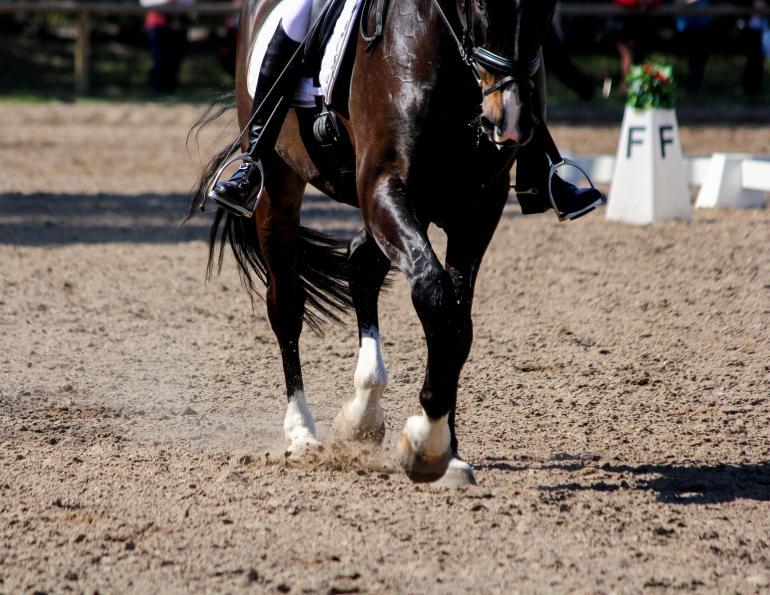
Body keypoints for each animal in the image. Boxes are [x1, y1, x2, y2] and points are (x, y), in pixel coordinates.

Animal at [190, 0, 557, 485]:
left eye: (546, 9)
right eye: (479, 5)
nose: (510, 121)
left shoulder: (478, 208)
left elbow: (458, 323)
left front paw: (447, 449)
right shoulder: (384, 186)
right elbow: (435, 297)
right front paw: (428, 444)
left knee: (361, 264)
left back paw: (362, 415)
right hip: (278, 184)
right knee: (287, 306)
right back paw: (302, 434)